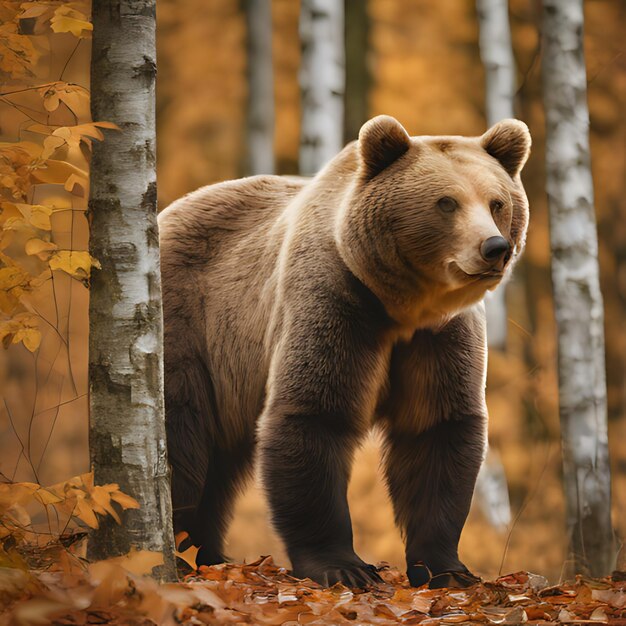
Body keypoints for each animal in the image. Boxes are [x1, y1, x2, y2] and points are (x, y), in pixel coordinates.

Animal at [158, 114, 528, 588]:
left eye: (497, 202)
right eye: (447, 203)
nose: (494, 248)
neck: (401, 307)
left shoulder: (439, 336)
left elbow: (436, 428)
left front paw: (447, 568)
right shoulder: (335, 298)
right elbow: (315, 414)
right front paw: (344, 566)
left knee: (223, 458)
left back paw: (209, 554)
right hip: (190, 320)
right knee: (183, 430)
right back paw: (182, 552)